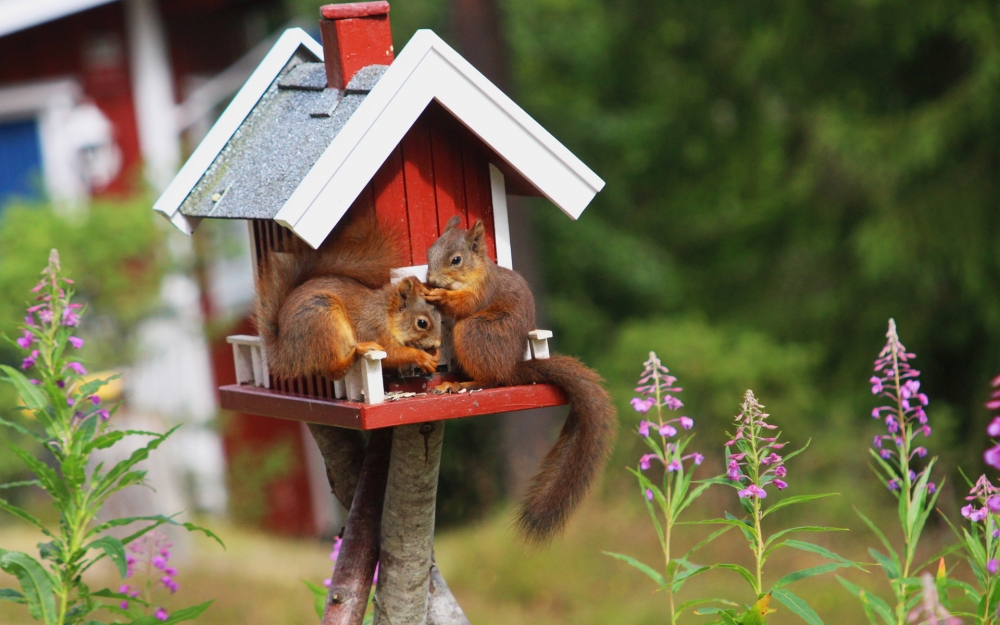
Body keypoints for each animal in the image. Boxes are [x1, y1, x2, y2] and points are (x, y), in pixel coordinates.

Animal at [258, 208, 442, 380]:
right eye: (422, 323)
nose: (438, 343)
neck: (386, 314)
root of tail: (284, 353)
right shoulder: (374, 329)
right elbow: (392, 354)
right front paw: (422, 357)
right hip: (322, 320)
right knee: (334, 370)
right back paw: (358, 350)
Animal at [422, 217, 616, 540]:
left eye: (456, 260)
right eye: (428, 252)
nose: (431, 279)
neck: (475, 272)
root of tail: (510, 368)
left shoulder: (483, 290)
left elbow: (465, 303)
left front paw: (439, 295)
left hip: (474, 332)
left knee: (492, 380)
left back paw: (462, 383)